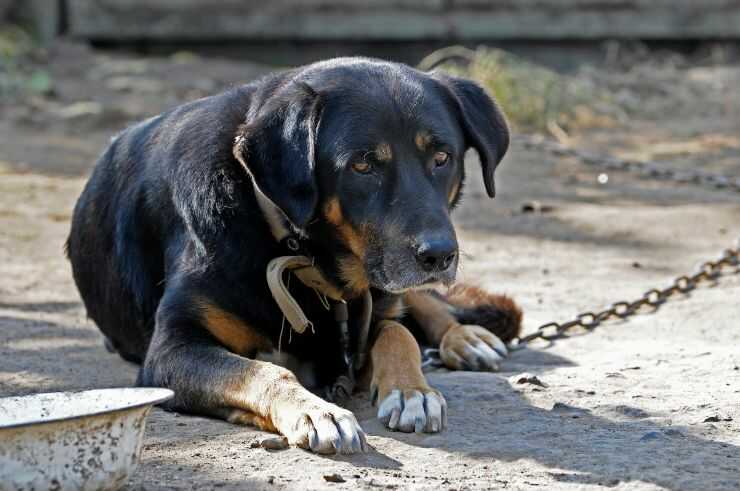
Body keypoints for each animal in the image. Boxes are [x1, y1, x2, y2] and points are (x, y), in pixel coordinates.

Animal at [68, 58, 520, 458]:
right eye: (362, 165)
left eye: (442, 158)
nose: (439, 255)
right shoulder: (172, 351)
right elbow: (263, 370)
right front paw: (315, 410)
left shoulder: (367, 315)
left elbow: (397, 332)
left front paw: (413, 391)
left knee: (422, 304)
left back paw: (465, 338)